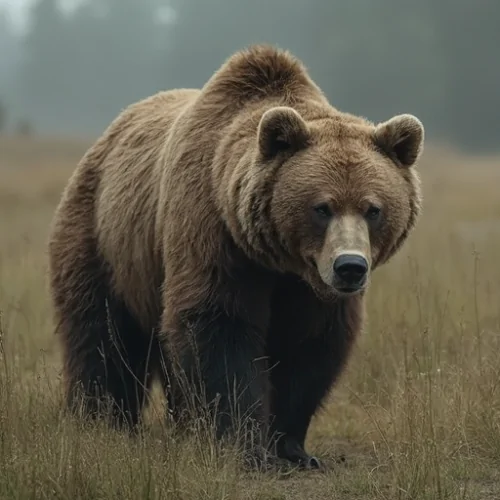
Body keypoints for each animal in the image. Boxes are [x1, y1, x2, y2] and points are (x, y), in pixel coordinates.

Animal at [47, 45, 424, 470]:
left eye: (373, 209)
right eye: (322, 207)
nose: (350, 267)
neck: (282, 262)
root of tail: (106, 137)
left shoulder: (309, 290)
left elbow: (311, 346)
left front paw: (292, 447)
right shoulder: (214, 235)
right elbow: (219, 329)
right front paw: (245, 445)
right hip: (104, 239)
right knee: (102, 334)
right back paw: (102, 419)